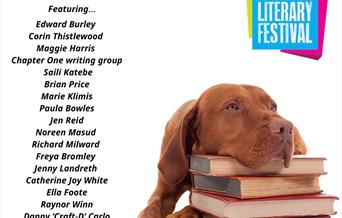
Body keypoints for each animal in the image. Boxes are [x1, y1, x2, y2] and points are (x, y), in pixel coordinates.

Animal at [138, 84, 306, 218]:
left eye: (273, 107)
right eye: (232, 106)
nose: (286, 128)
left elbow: (195, 201)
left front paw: (184, 213)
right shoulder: (161, 193)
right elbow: (150, 208)